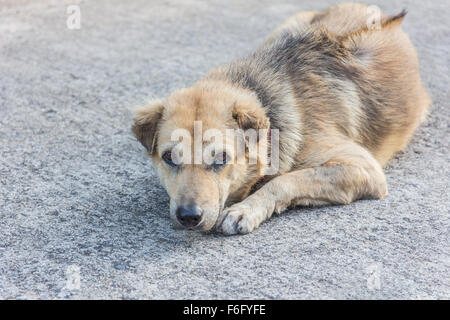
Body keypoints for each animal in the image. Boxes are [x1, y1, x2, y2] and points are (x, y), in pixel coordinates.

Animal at [132, 2, 430, 235]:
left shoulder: (364, 169)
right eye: (169, 157)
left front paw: (245, 209)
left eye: (222, 158)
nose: (188, 217)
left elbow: (285, 180)